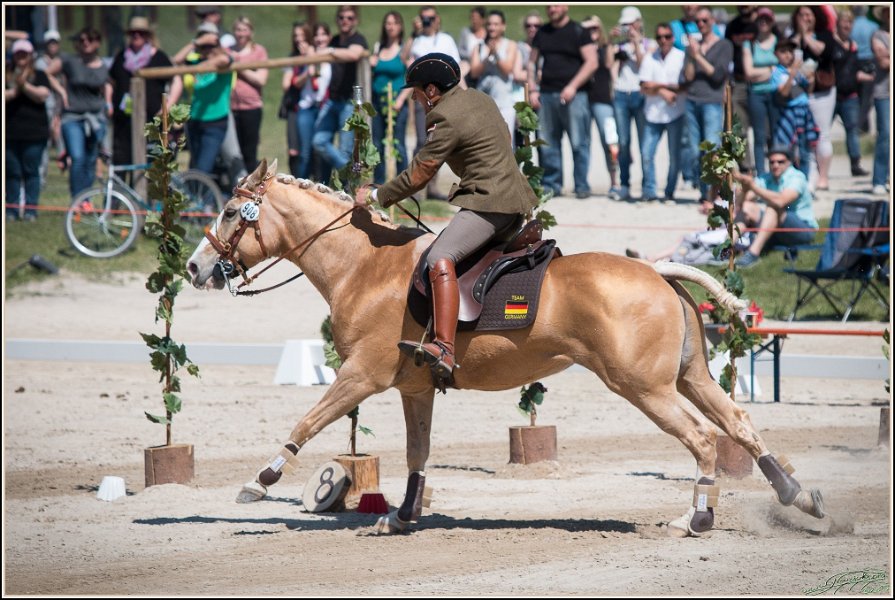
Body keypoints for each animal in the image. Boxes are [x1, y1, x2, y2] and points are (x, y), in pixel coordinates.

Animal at [186, 159, 825, 536]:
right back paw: (799, 497)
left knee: (703, 439)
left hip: (644, 388)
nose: (194, 268)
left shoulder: (361, 376)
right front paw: (403, 516)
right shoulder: (415, 388)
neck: (364, 267)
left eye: (230, 210)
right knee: (738, 424)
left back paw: (698, 517)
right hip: (690, 378)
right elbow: (417, 454)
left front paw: (259, 481)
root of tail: (658, 272)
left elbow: (308, 420)